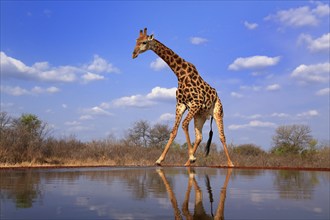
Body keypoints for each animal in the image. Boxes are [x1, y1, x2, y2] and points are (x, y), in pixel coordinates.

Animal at [133, 27, 233, 167]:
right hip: (200, 116)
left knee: (222, 136)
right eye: (136, 41)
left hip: (218, 112)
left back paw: (230, 163)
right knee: (199, 137)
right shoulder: (180, 104)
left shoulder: (196, 103)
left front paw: (191, 157)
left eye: (144, 42)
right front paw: (160, 160)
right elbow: (174, 131)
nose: (133, 54)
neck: (180, 74)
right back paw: (187, 163)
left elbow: (184, 124)